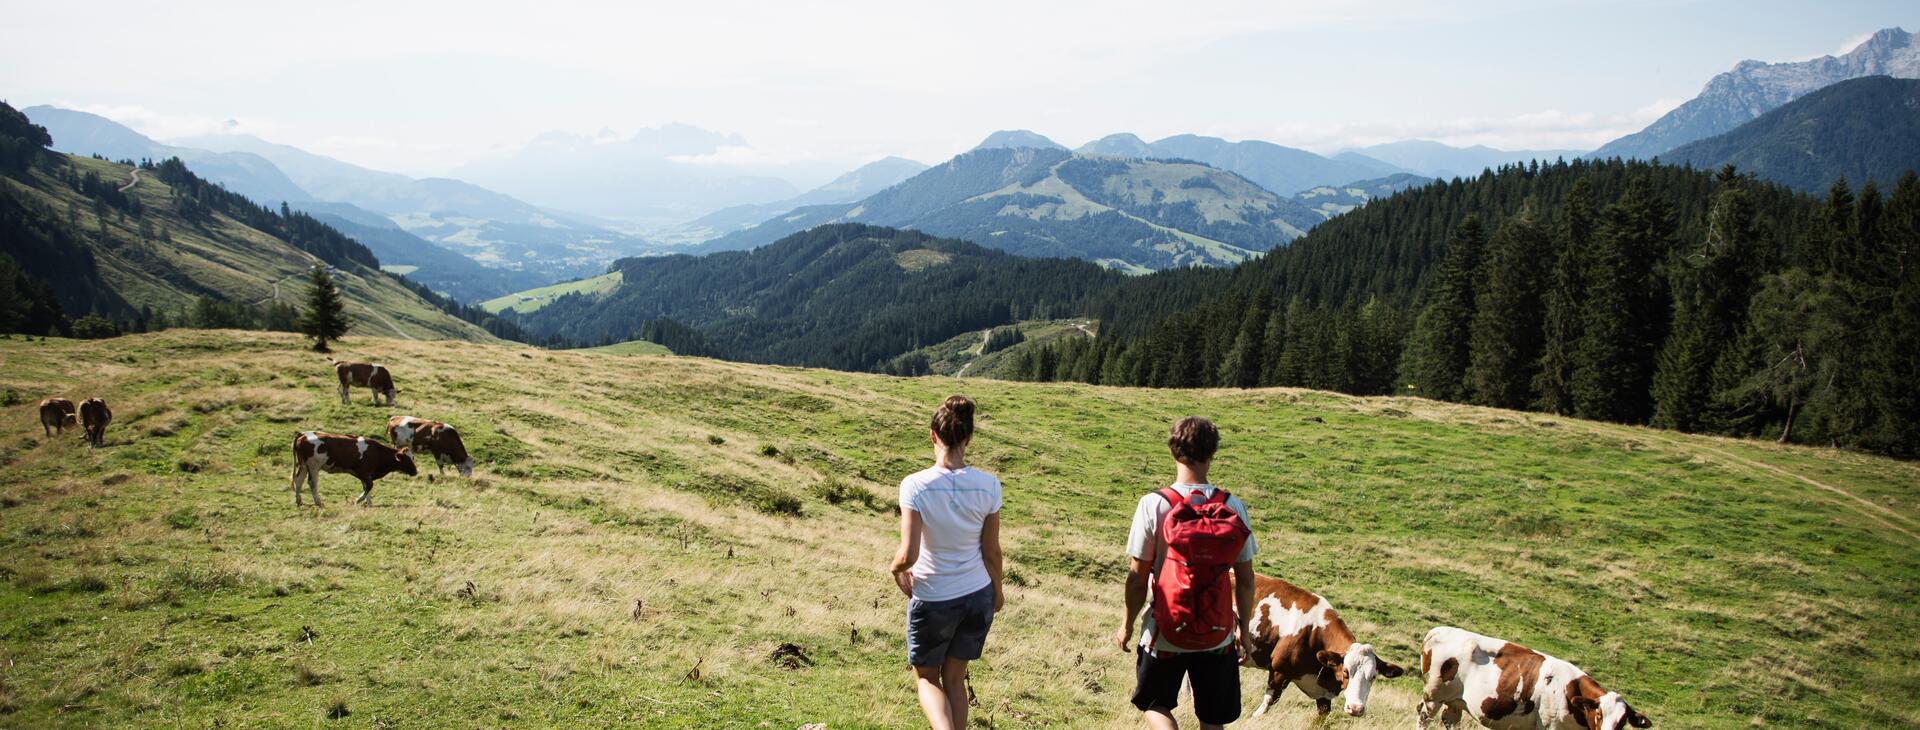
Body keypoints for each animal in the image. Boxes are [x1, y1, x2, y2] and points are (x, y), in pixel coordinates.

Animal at [288, 428, 416, 507]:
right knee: (312, 483)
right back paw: (318, 502)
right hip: (314, 466)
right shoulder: (363, 472)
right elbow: (369, 486)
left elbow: (366, 487)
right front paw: (358, 500)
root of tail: (303, 434)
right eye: (407, 459)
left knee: (298, 481)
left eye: (413, 457)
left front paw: (368, 503)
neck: (377, 453)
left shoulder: (366, 475)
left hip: (304, 466)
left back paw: (298, 501)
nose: (415, 471)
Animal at [1236, 576, 1405, 718]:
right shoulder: (1279, 670)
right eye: (1345, 671)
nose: (1356, 709)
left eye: (1374, 676)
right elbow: (1266, 705)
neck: (1313, 633)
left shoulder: (1324, 695)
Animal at [1413, 626, 1651, 730]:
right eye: (1599, 713)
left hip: (1455, 702)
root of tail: (1438, 630)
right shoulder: (1550, 727)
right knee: (1424, 717)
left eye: (1623, 722)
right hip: (1433, 695)